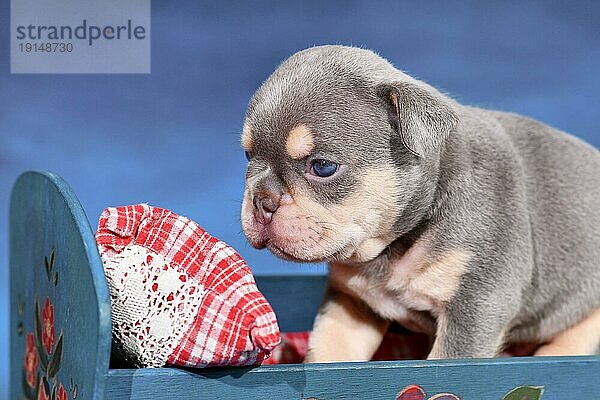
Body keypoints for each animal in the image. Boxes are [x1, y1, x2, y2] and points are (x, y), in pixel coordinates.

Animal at [239, 45, 600, 360]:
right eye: (248, 155)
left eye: (323, 167)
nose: (262, 200)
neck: (395, 242)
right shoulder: (351, 304)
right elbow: (329, 351)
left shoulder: (476, 305)